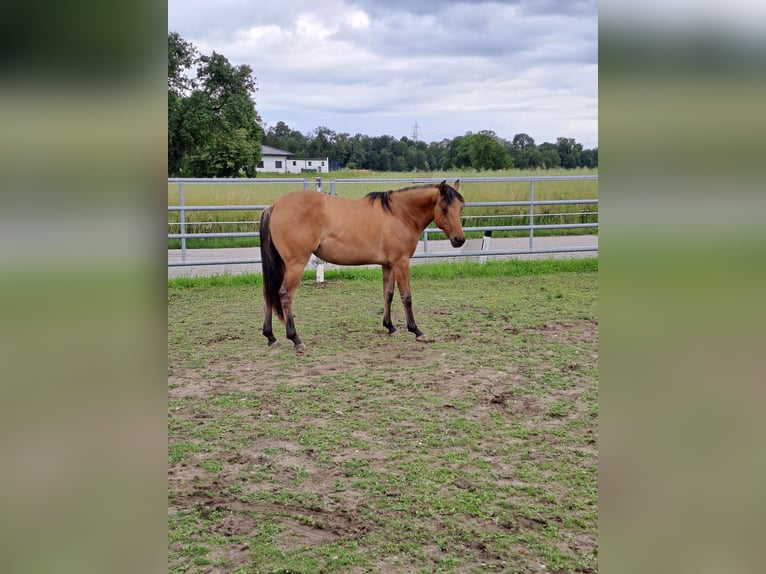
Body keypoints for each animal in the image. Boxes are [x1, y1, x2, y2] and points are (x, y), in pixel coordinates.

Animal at [260, 181, 468, 352]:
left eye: (460, 208)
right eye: (444, 208)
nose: (459, 240)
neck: (399, 213)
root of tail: (274, 206)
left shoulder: (388, 265)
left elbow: (388, 294)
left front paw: (390, 326)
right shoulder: (401, 262)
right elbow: (406, 296)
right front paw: (416, 330)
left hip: (282, 264)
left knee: (269, 294)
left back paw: (271, 337)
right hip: (295, 264)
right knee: (285, 294)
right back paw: (295, 339)